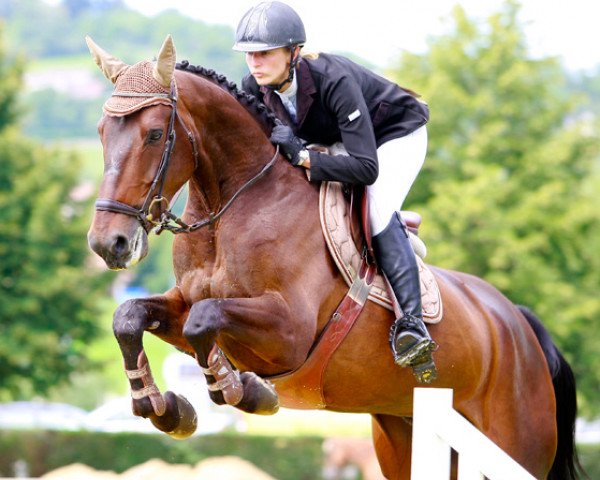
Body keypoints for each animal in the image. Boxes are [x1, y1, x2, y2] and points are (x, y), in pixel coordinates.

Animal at [84, 35, 580, 478]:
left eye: (154, 134)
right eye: (102, 133)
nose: (108, 244)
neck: (233, 209)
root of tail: (520, 325)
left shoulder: (289, 331)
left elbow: (205, 319)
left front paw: (245, 391)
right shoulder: (184, 303)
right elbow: (131, 316)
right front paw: (163, 408)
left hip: (511, 443)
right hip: (407, 434)